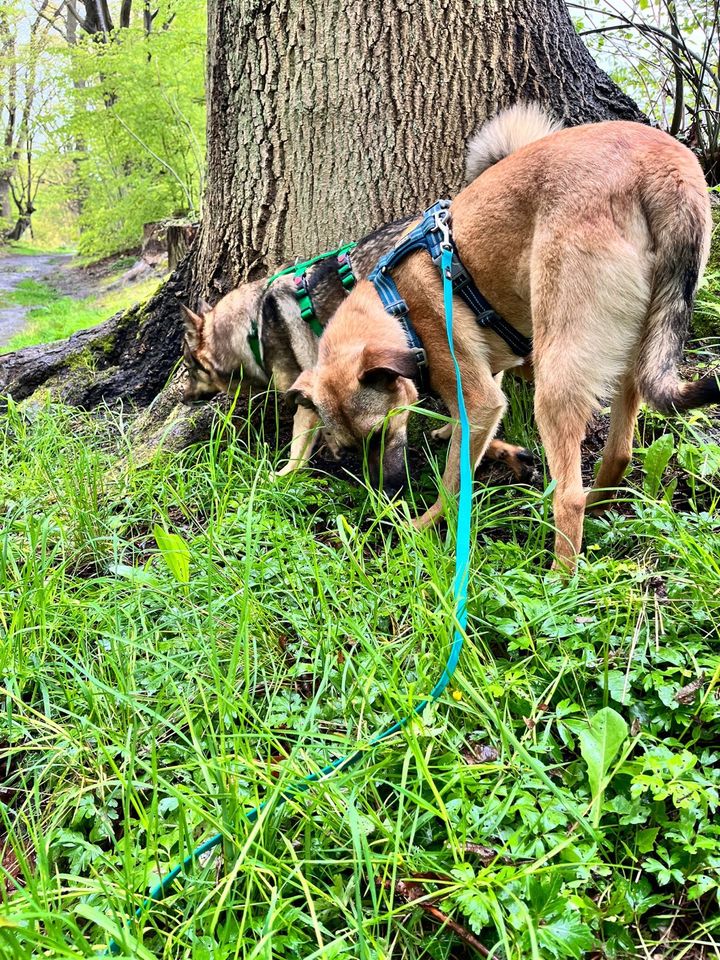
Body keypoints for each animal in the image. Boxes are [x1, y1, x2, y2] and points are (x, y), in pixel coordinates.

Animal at [292, 106, 716, 568]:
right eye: (346, 452)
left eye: (382, 433)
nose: (385, 495)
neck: (396, 303)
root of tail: (663, 167)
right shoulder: (490, 382)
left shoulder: (478, 397)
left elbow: (454, 482)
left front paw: (423, 526)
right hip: (634, 348)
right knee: (619, 451)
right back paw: (599, 504)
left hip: (556, 372)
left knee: (568, 496)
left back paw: (560, 575)